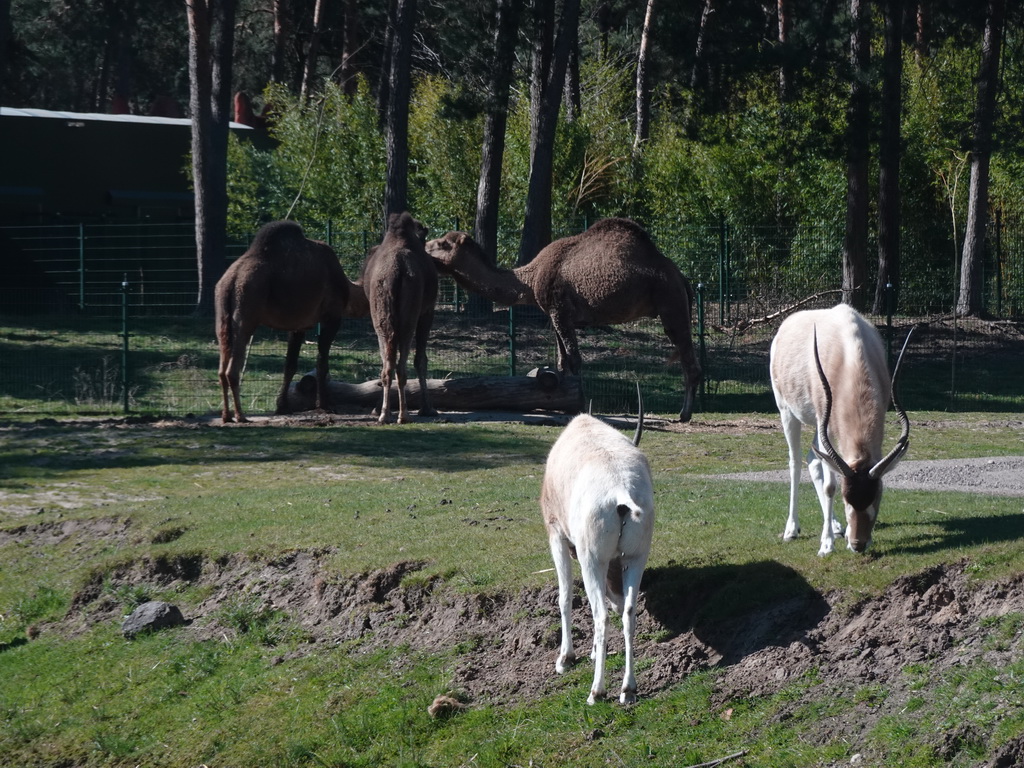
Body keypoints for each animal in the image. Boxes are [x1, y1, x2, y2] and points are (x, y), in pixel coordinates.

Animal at [214, 219, 354, 423]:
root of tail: (232, 280)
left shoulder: (298, 325)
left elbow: (290, 365)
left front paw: (282, 407)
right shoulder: (332, 317)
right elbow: (322, 363)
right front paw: (324, 406)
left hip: (221, 317)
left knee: (221, 369)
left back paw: (226, 416)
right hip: (246, 313)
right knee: (232, 370)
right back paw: (240, 416)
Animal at [362, 214, 438, 423]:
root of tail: (395, 271)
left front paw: (377, 409)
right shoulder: (427, 311)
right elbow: (421, 359)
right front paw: (428, 408)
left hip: (381, 316)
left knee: (388, 364)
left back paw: (385, 414)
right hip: (409, 318)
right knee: (401, 365)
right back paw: (403, 415)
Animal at [425, 217, 704, 421]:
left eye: (443, 243)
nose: (425, 245)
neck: (530, 277)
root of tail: (682, 278)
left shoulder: (560, 309)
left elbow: (575, 359)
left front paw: (579, 405)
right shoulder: (556, 315)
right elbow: (562, 362)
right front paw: (560, 402)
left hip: (671, 303)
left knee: (689, 362)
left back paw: (684, 414)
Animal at [540, 393, 651, 708]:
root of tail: (620, 491)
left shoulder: (557, 535)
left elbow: (564, 596)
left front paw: (565, 658)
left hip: (591, 559)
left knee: (600, 614)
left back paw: (597, 691)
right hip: (636, 558)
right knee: (628, 612)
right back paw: (628, 689)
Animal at [770, 307, 913, 561]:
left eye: (876, 496)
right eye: (847, 500)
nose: (858, 544)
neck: (848, 355)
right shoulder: (823, 420)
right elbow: (830, 486)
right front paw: (826, 545)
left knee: (813, 459)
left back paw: (836, 526)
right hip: (787, 411)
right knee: (795, 462)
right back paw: (792, 530)